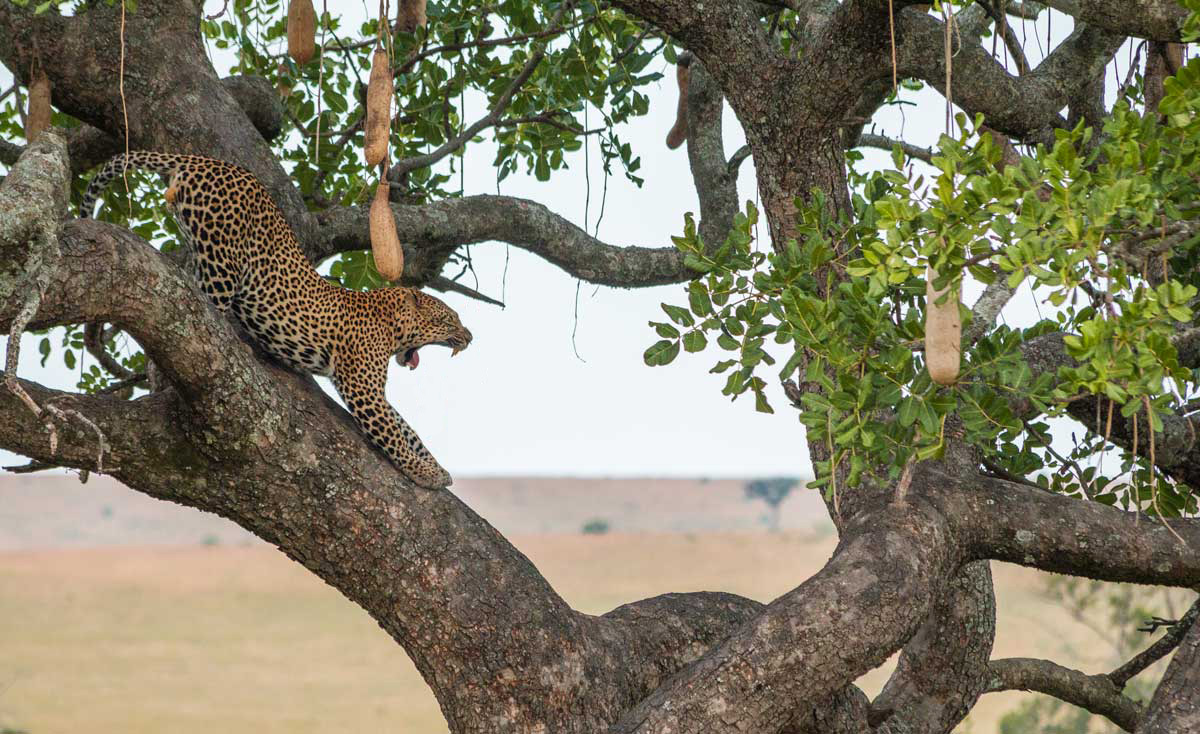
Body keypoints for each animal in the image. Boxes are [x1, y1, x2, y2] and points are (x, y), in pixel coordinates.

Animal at [78, 150, 472, 486]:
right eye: (449, 319)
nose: (469, 337)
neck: (389, 325)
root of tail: (201, 159)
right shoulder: (362, 388)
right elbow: (394, 434)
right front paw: (424, 473)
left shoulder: (372, 389)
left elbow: (408, 430)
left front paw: (436, 466)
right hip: (222, 262)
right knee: (197, 319)